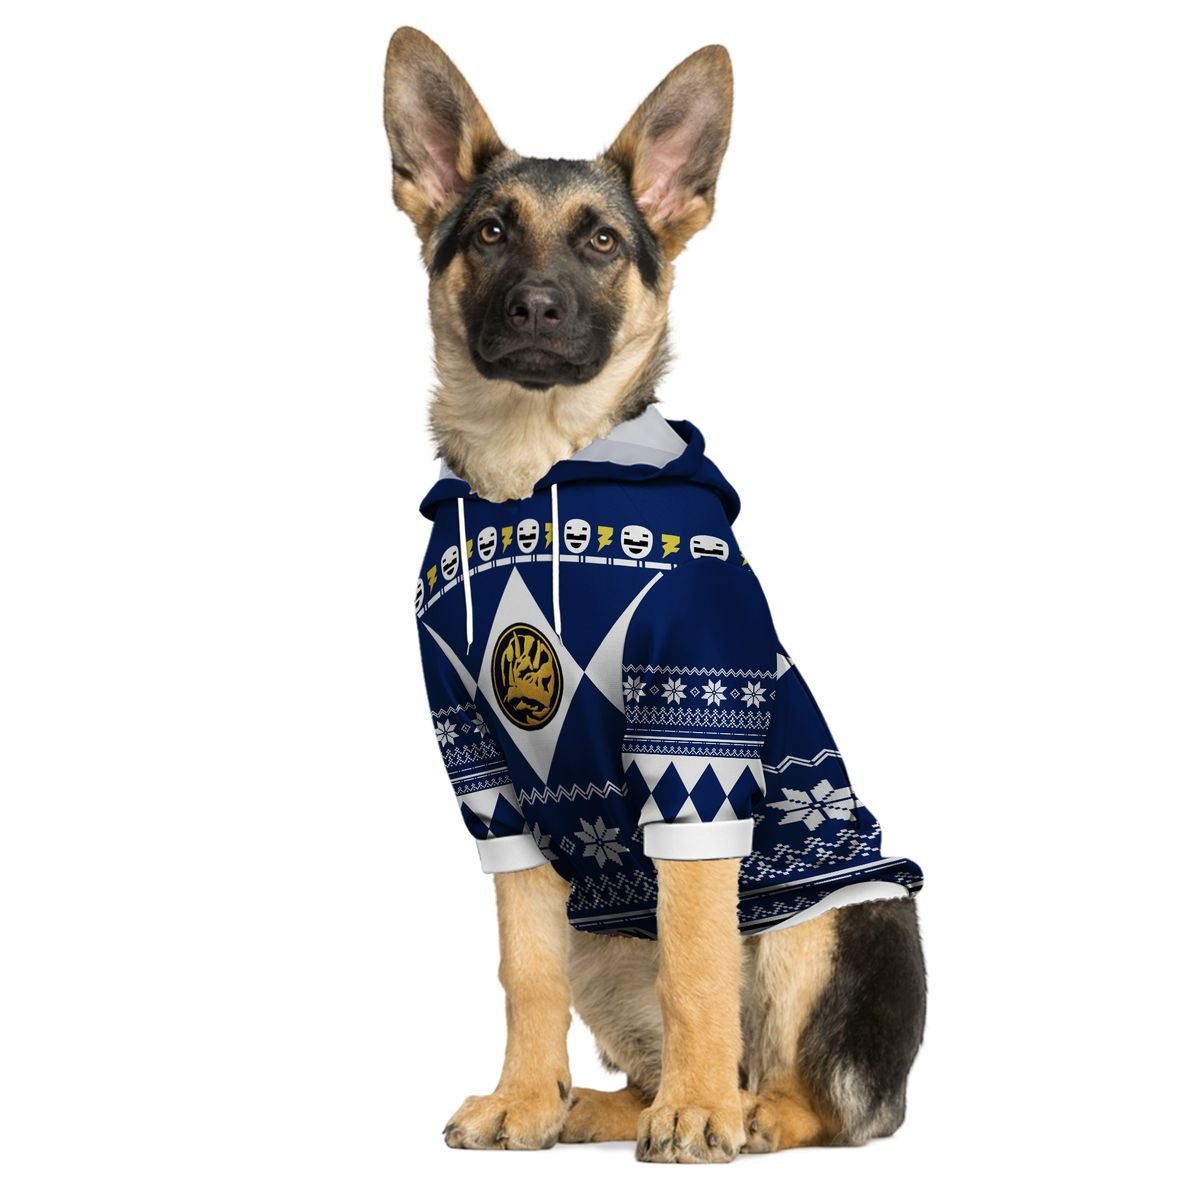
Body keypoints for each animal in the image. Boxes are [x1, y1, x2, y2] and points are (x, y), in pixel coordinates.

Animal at [383, 26, 927, 1162]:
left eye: (600, 242)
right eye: (491, 231)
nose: (536, 308)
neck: (539, 474)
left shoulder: (694, 753)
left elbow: (696, 961)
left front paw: (702, 1113)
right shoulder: (489, 781)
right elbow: (525, 973)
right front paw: (524, 1099)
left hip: (832, 916)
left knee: (814, 1094)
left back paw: (744, 1108)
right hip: (600, 939)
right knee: (633, 1049)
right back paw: (587, 1107)